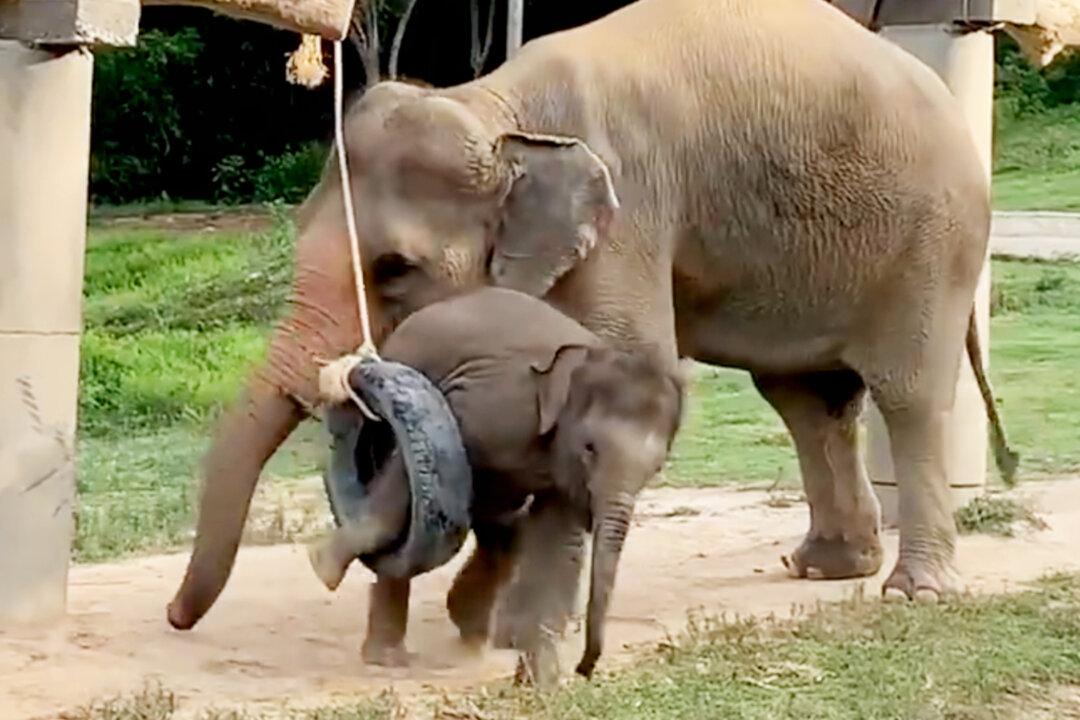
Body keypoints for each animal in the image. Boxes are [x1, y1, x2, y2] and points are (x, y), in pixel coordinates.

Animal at [167, 0, 1019, 636]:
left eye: (394, 269)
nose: (176, 618)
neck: (497, 109)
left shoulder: (628, 214)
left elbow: (624, 372)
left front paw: (512, 620)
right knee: (809, 400)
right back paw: (826, 567)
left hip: (929, 237)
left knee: (906, 390)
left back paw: (914, 591)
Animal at [305, 287, 684, 681]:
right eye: (590, 448)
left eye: (656, 467)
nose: (583, 669)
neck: (580, 359)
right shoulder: (486, 406)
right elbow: (413, 478)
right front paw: (323, 566)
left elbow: (557, 537)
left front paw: (539, 682)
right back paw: (387, 657)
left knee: (502, 535)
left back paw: (469, 637)